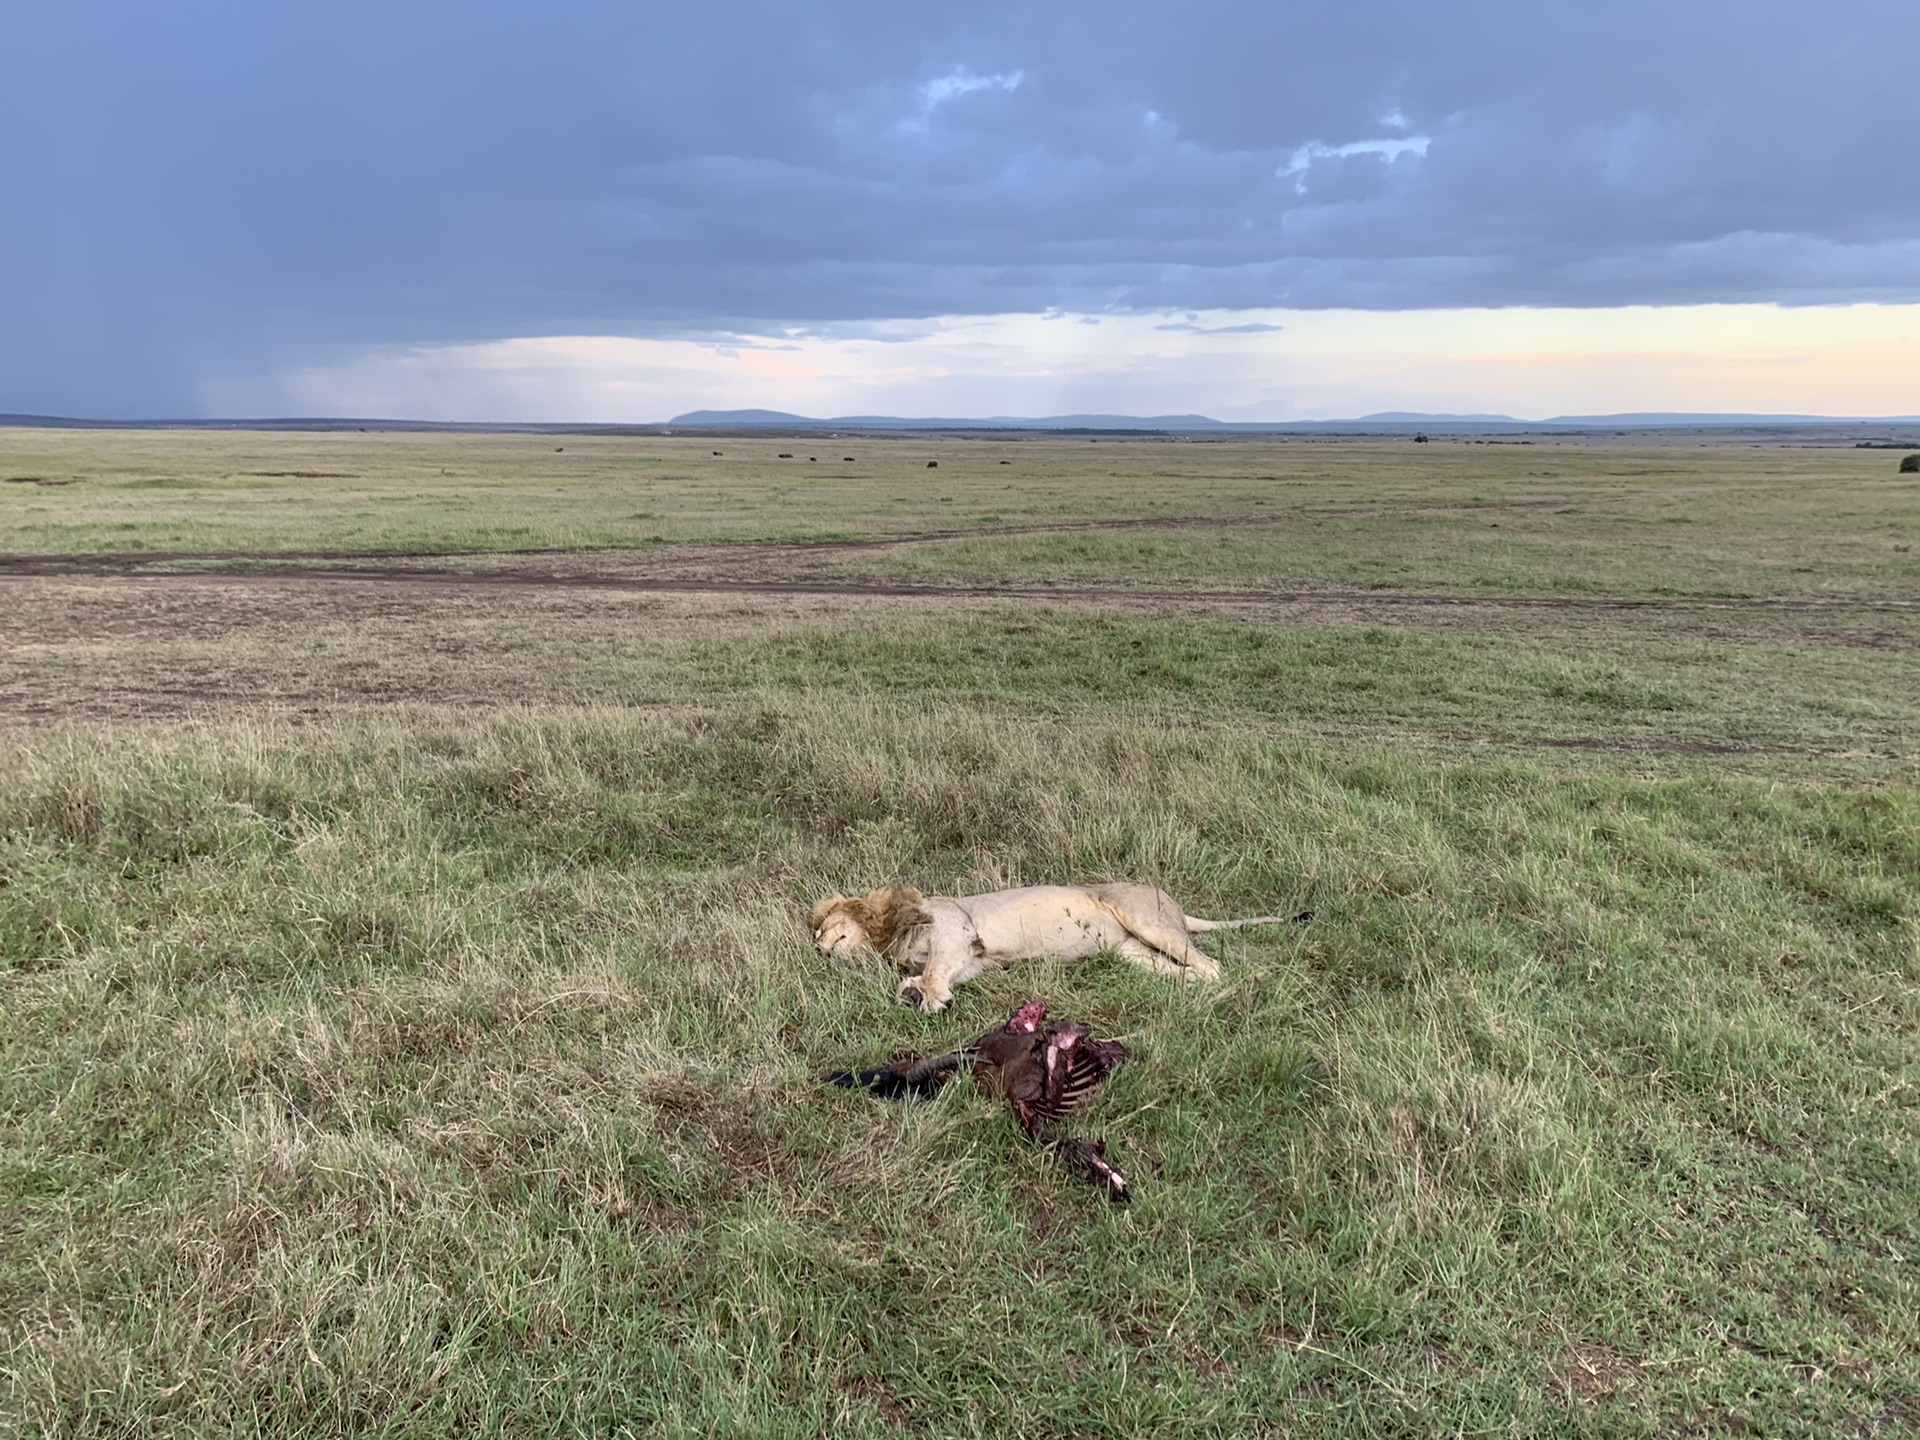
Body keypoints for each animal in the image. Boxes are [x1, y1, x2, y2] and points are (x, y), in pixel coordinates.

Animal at [802, 879, 1297, 1013]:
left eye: (828, 929)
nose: (818, 950)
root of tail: (1174, 903)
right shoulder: (972, 960)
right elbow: (925, 975)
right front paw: (909, 991)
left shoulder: (956, 932)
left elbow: (932, 969)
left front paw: (929, 996)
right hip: (1132, 953)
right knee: (1185, 971)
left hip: (1147, 921)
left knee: (1213, 967)